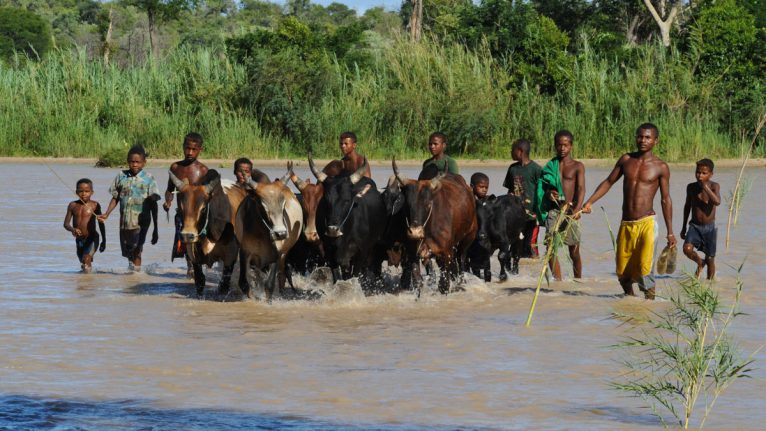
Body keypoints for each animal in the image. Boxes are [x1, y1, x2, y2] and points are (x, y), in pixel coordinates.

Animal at [392, 160, 476, 296]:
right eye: (407, 204)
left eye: (428, 204)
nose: (415, 232)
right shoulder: (413, 254)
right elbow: (418, 282)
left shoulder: (446, 254)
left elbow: (444, 285)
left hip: (468, 237)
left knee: (461, 260)